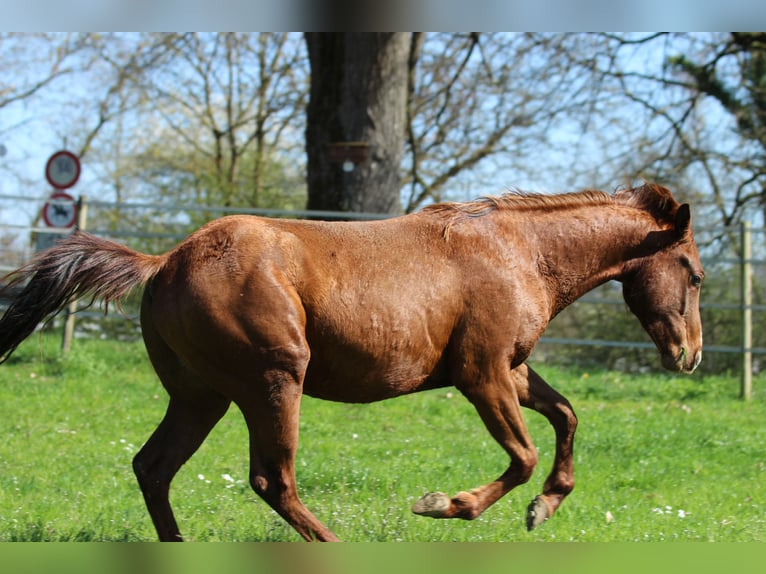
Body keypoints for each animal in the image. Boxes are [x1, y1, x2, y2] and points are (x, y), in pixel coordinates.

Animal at [0, 183, 703, 541]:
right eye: (694, 273)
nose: (689, 355)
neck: (517, 251)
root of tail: (165, 261)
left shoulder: (513, 370)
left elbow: (566, 417)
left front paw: (544, 508)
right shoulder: (481, 375)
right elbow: (525, 454)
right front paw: (445, 504)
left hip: (202, 396)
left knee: (154, 467)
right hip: (272, 382)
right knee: (271, 480)